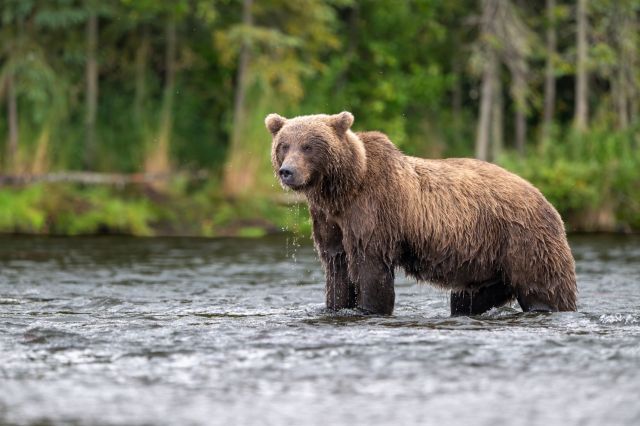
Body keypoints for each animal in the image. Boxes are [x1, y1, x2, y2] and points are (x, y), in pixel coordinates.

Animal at [265, 111, 577, 316]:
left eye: (308, 146)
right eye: (284, 145)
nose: (287, 171)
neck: (344, 189)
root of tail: (546, 200)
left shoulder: (374, 211)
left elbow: (370, 267)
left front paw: (370, 308)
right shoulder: (329, 220)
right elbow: (337, 267)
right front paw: (336, 306)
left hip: (524, 241)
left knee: (545, 289)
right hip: (488, 263)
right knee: (467, 299)